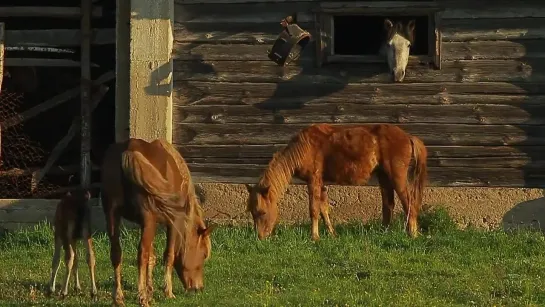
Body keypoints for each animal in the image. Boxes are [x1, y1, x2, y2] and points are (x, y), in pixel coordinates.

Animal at [101, 140, 214, 307]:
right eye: (204, 254)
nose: (198, 288)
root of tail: (129, 149)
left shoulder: (148, 224)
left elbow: (152, 257)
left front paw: (150, 293)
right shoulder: (172, 224)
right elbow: (168, 255)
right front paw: (167, 292)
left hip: (112, 214)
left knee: (116, 253)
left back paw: (119, 297)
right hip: (147, 219)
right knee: (141, 254)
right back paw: (141, 297)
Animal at [244, 124, 428, 242]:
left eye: (261, 212)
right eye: (251, 212)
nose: (260, 238)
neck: (304, 147)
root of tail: (408, 136)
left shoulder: (313, 180)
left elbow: (314, 209)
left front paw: (314, 237)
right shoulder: (322, 184)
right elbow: (324, 209)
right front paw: (332, 234)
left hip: (397, 176)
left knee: (409, 202)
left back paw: (412, 233)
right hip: (383, 176)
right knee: (388, 204)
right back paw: (384, 231)